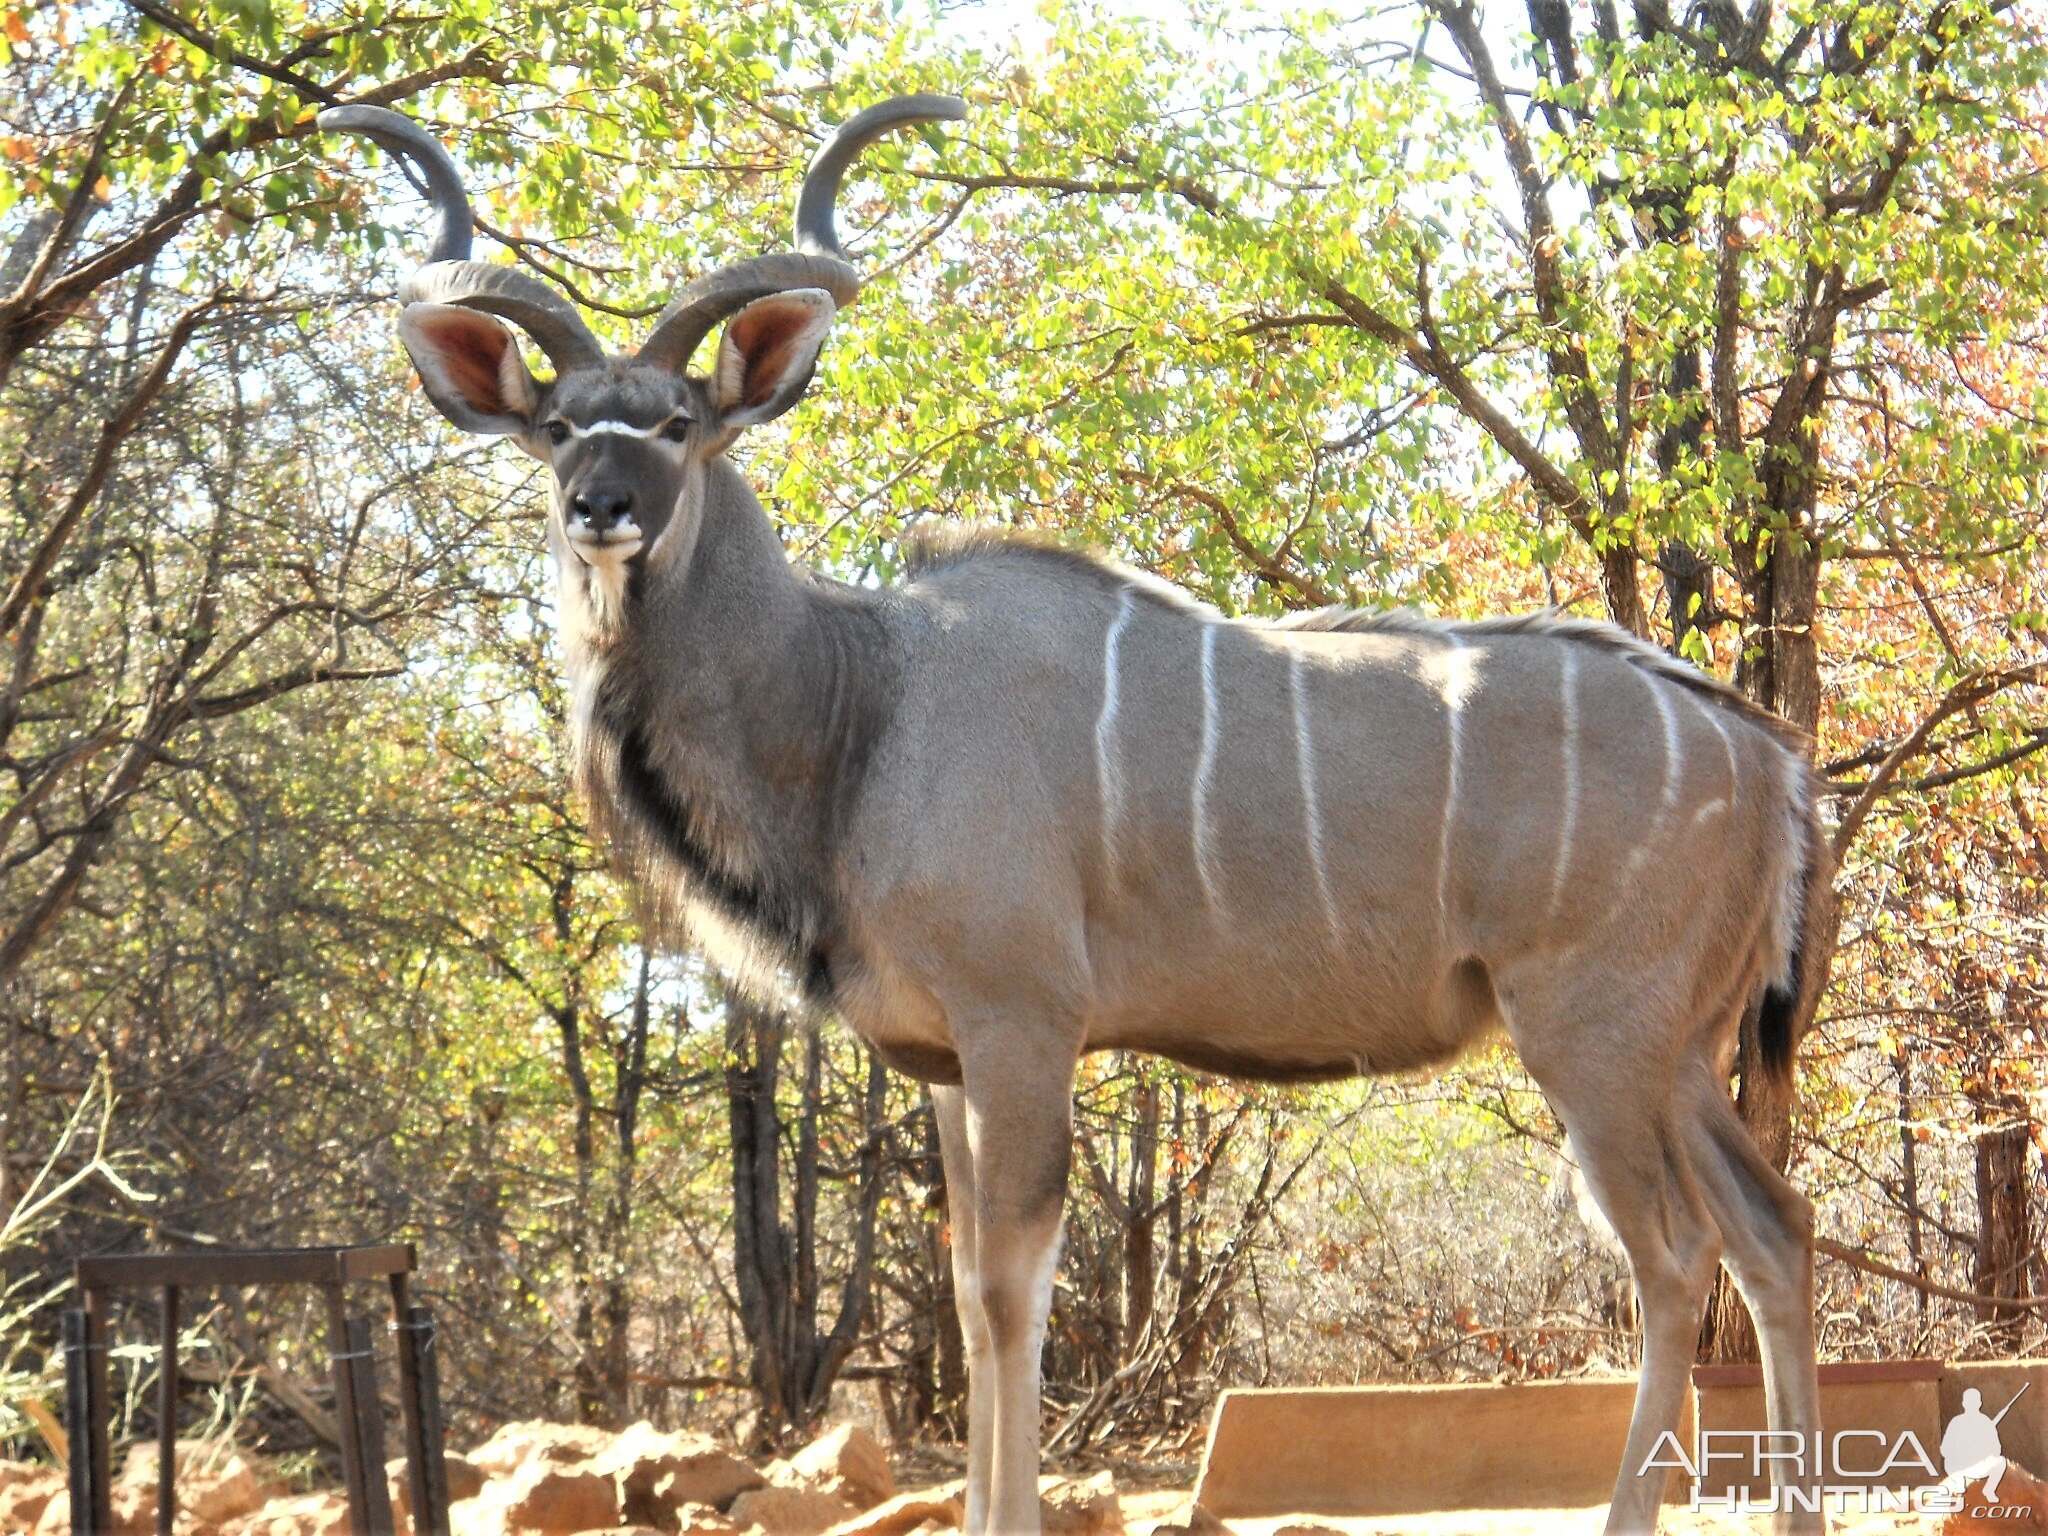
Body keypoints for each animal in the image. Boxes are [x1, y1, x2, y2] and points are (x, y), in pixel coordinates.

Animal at [327, 99, 1835, 1536]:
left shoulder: (1022, 1026)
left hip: (1590, 1035)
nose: (601, 508)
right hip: (1676, 1052)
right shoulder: (942, 1059)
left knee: (1674, 1257)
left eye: (676, 424)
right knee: (1774, 1229)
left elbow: (1011, 1288)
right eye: (559, 425)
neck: (861, 700)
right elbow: (967, 1290)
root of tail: (1770, 761)